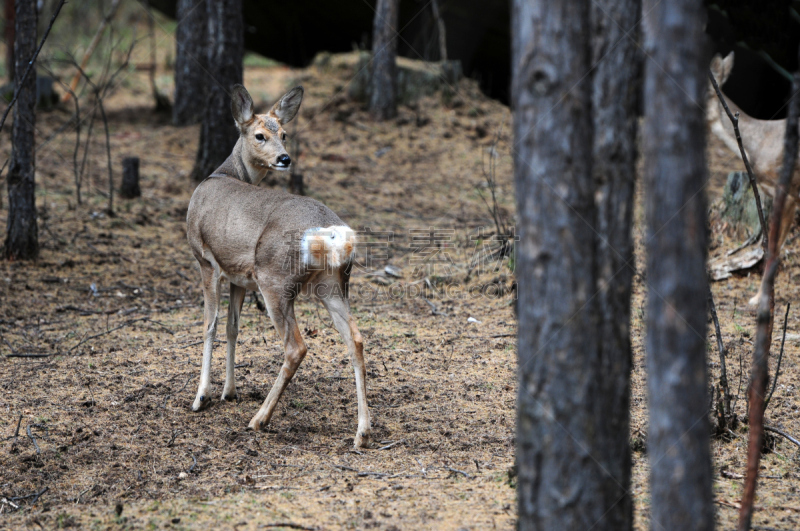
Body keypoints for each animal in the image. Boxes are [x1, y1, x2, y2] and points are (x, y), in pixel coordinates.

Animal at [186, 85, 370, 446]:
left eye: (284, 134)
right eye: (260, 135)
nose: (285, 158)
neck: (222, 173)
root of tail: (331, 233)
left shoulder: (206, 260)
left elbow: (210, 325)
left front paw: (201, 397)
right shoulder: (239, 276)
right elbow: (232, 327)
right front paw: (229, 391)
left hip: (275, 280)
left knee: (296, 347)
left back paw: (259, 419)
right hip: (332, 285)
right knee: (355, 339)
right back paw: (362, 431)